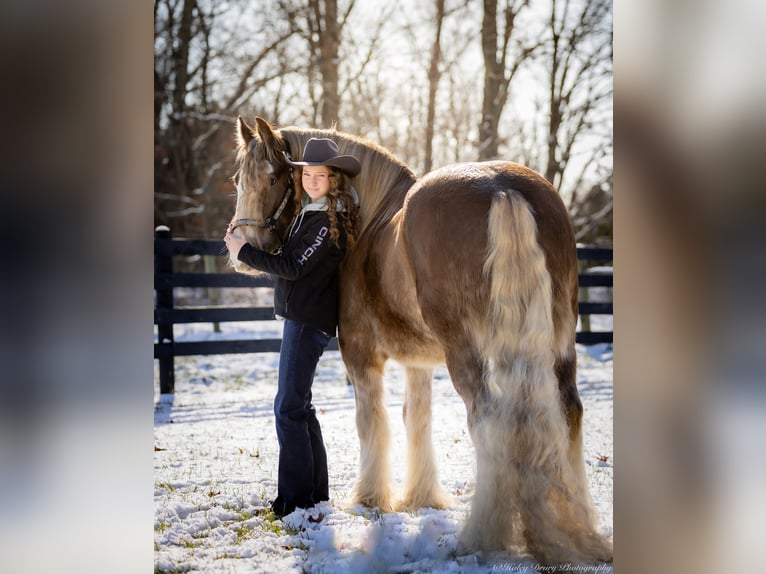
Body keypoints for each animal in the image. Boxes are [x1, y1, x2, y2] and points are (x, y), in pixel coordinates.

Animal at [231, 115, 616, 564]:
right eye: (239, 178)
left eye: (273, 176)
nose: (243, 247)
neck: (366, 223)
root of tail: (501, 187)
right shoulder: (418, 363)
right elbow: (417, 418)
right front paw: (421, 498)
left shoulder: (360, 355)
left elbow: (372, 422)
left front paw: (371, 499)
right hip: (559, 342)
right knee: (569, 412)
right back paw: (581, 530)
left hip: (466, 352)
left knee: (488, 419)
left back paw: (482, 537)